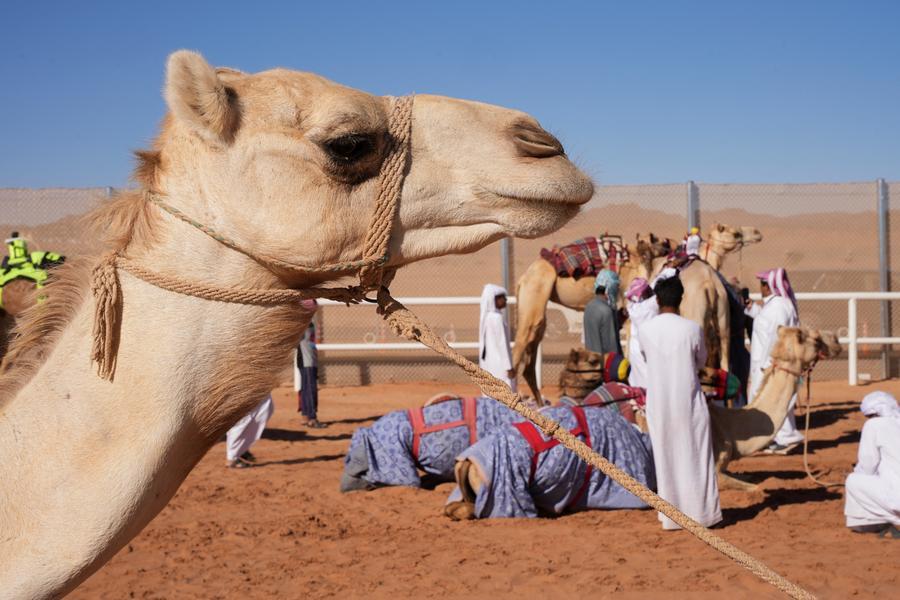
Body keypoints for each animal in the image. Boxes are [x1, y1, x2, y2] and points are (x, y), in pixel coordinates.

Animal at [449, 326, 841, 518]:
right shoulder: (713, 466)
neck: (729, 427)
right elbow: (756, 488)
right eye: (810, 336)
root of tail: (466, 463)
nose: (836, 342)